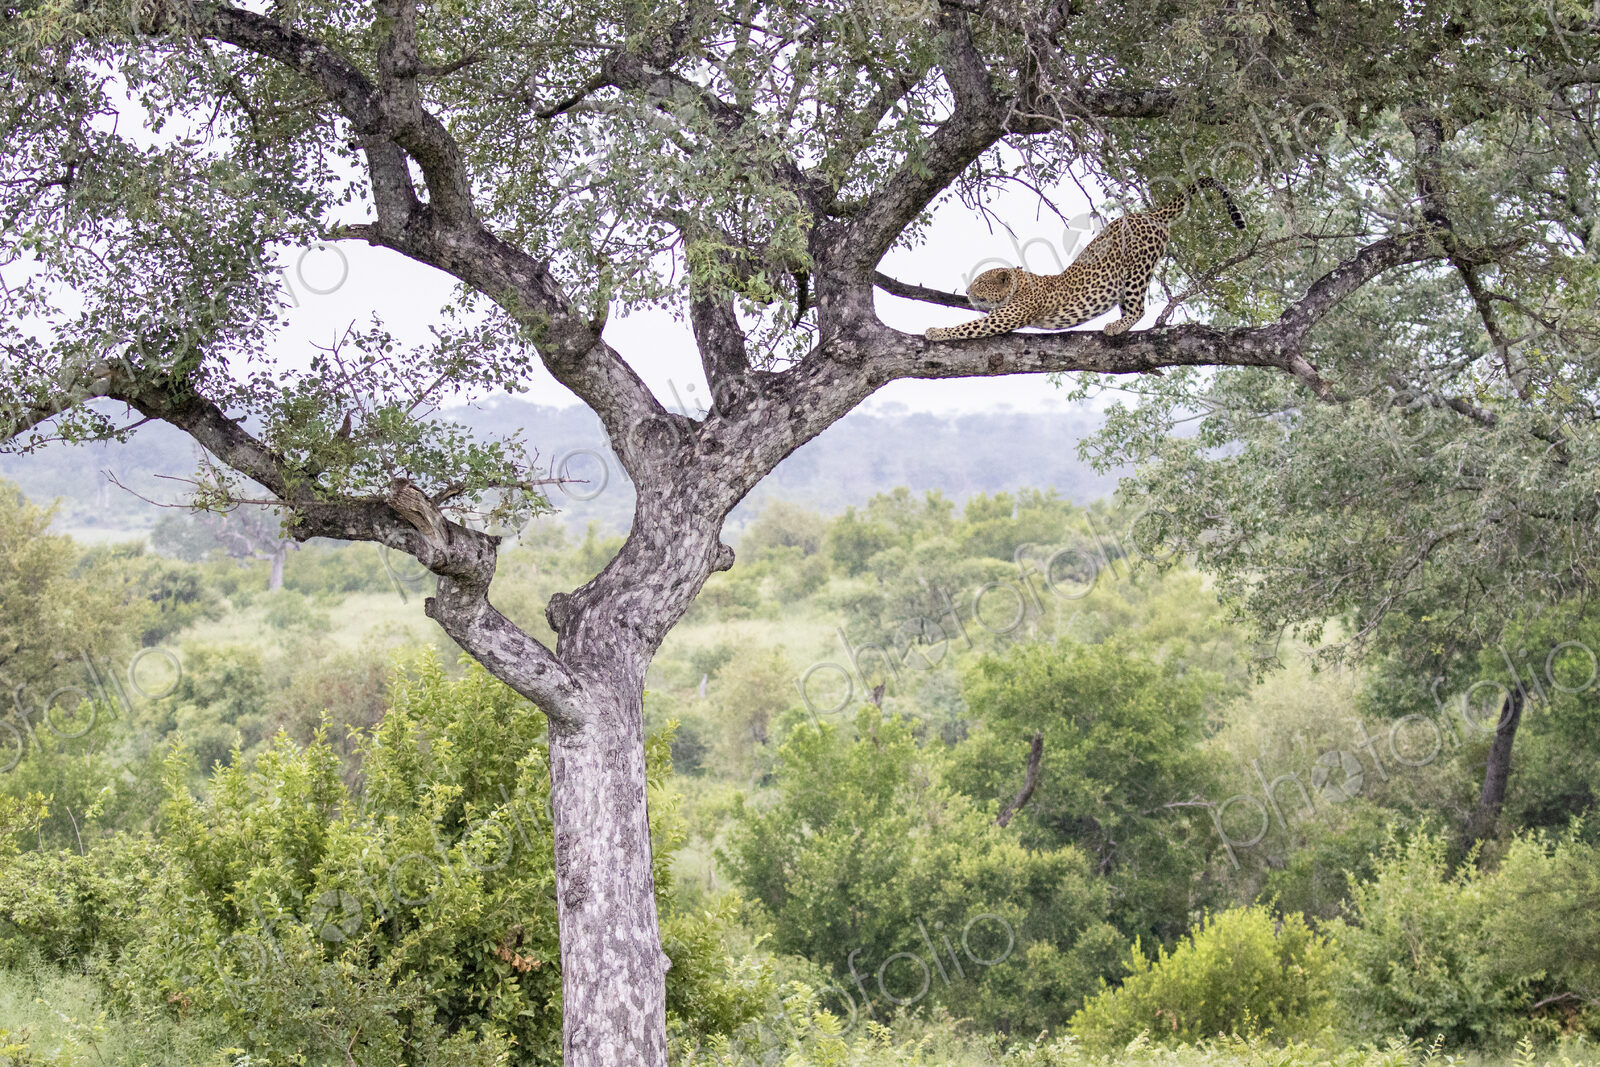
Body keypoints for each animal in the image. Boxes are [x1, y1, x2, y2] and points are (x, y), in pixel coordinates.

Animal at [923, 178, 1245, 342]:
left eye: (980, 281)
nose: (966, 291)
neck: (1020, 283)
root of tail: (1149, 214)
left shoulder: (1005, 317)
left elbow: (967, 327)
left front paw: (935, 332)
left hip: (1137, 269)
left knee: (1138, 308)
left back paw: (1117, 326)